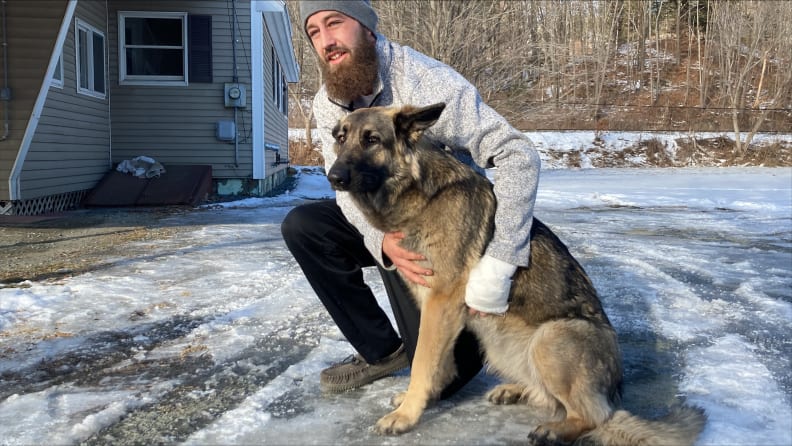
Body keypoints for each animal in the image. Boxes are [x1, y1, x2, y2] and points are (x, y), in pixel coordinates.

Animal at [324, 103, 708, 444]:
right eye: (340, 138)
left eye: (372, 140)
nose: (333, 176)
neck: (418, 191)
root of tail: (613, 390)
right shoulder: (435, 305)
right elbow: (436, 363)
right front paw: (417, 400)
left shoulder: (441, 301)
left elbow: (422, 362)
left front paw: (406, 415)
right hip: (501, 343)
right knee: (548, 395)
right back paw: (517, 390)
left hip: (552, 337)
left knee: (593, 417)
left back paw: (555, 430)